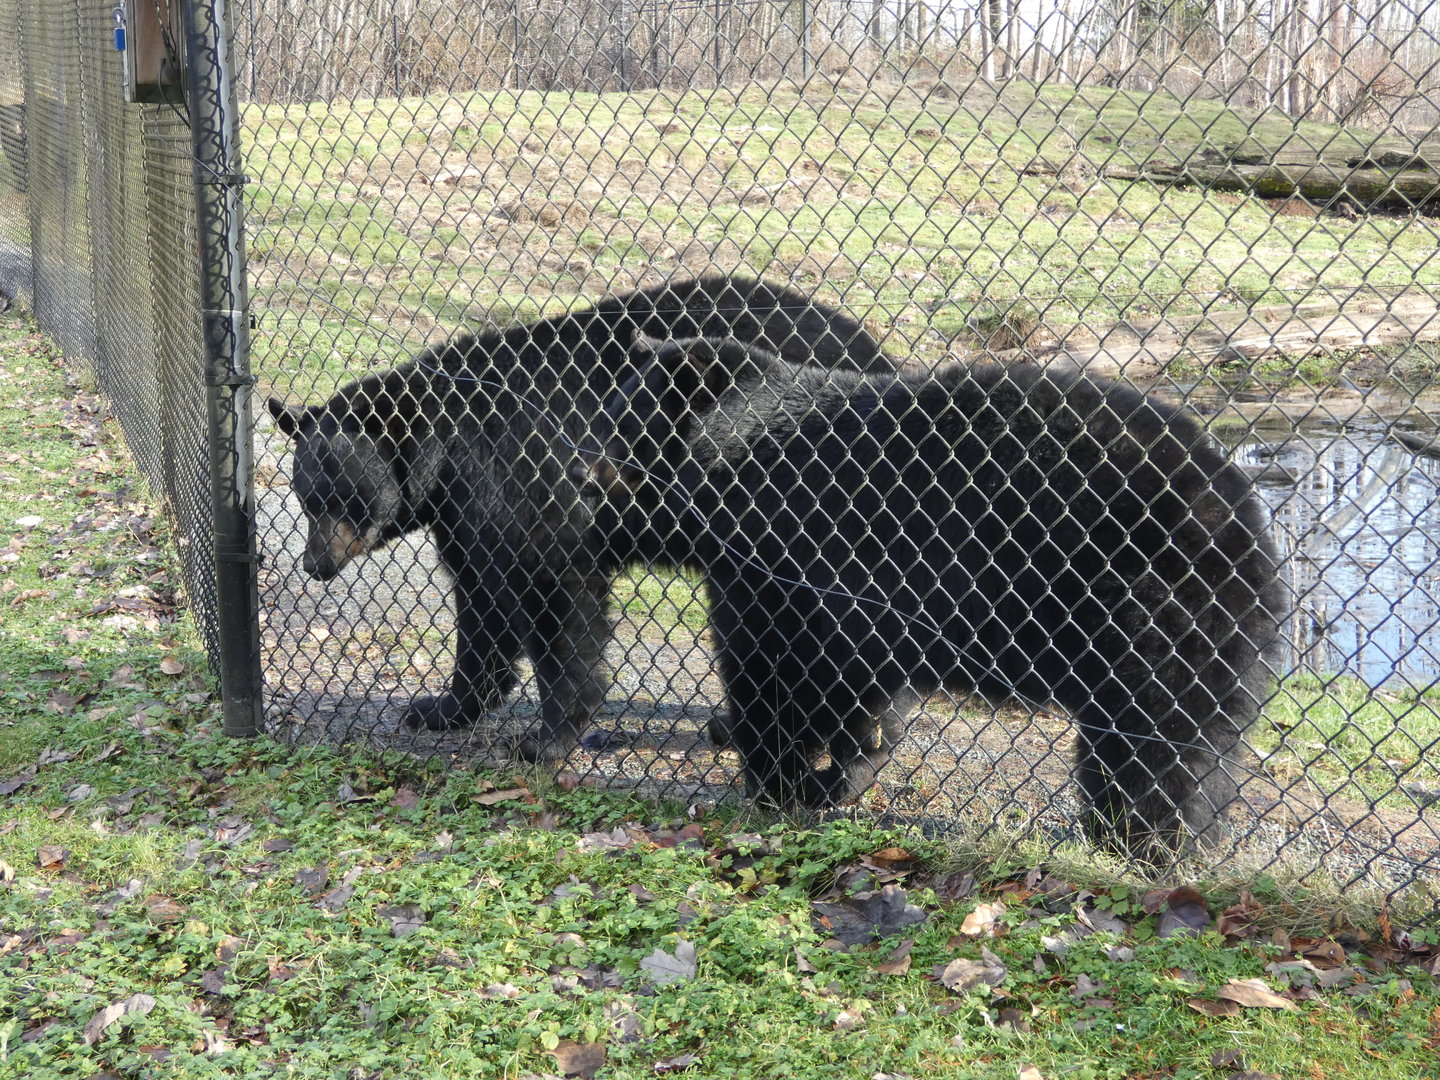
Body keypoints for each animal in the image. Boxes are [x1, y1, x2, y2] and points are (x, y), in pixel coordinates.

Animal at [266, 276, 891, 762]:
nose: (315, 564)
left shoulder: (523, 475)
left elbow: (554, 597)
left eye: (347, 500)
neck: (445, 447)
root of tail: (877, 353)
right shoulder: (465, 510)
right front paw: (443, 706)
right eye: (306, 499)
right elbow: (480, 599)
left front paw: (548, 737)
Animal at [584, 336, 1288, 856]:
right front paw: (839, 773)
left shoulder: (786, 551)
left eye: (619, 432)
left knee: (1154, 739)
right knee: (1202, 746)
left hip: (1147, 605)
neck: (727, 465)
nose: (584, 487)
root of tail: (1247, 523)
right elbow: (861, 689)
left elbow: (778, 668)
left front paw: (780, 779)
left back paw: (1144, 839)